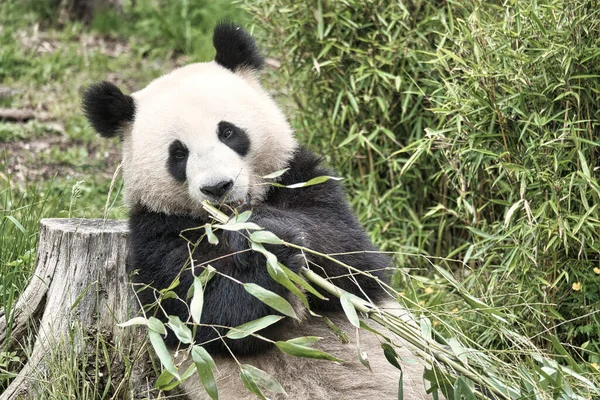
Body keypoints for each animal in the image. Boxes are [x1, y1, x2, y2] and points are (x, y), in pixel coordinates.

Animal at [82, 23, 436, 400]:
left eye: (228, 131)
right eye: (178, 153)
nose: (218, 187)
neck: (228, 220)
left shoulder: (300, 177)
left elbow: (354, 262)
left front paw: (271, 234)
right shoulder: (157, 233)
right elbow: (205, 313)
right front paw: (263, 256)